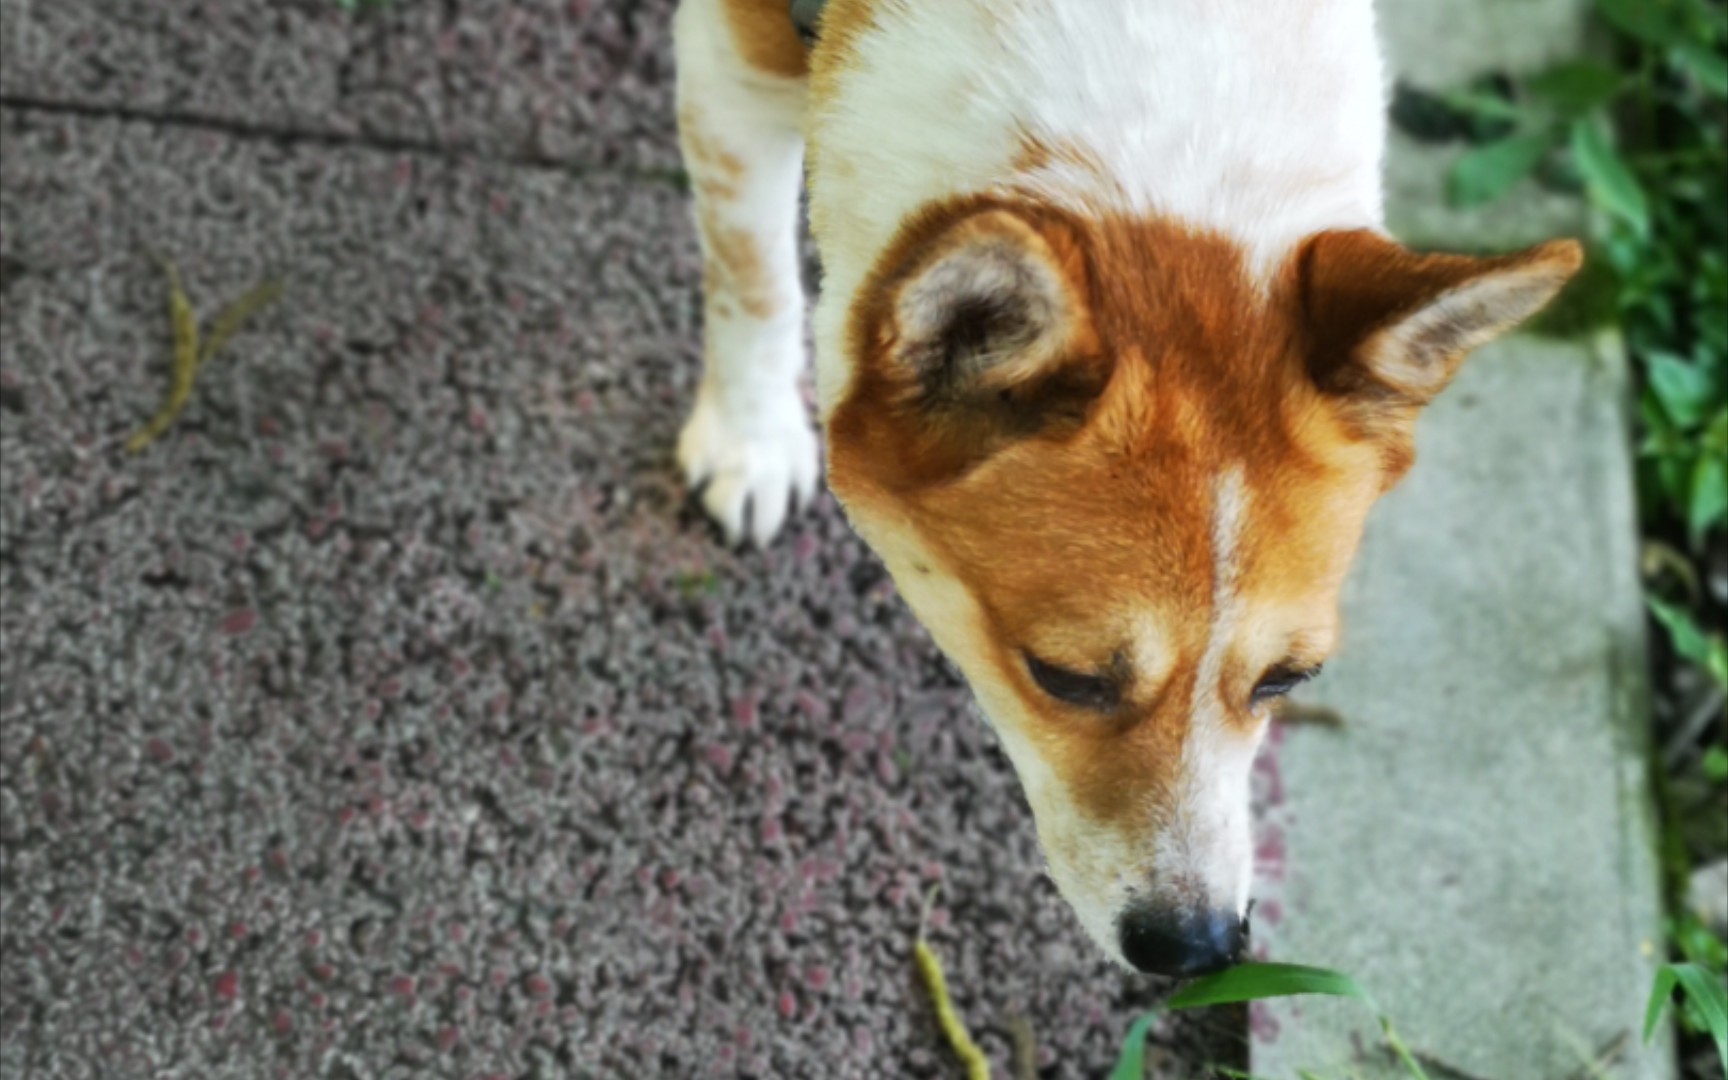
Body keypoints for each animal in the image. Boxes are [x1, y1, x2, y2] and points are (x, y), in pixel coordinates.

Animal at [670, 0, 1582, 974]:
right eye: (1063, 678)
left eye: (1289, 679)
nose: (1201, 949)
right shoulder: (727, 63)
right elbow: (751, 274)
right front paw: (753, 439)